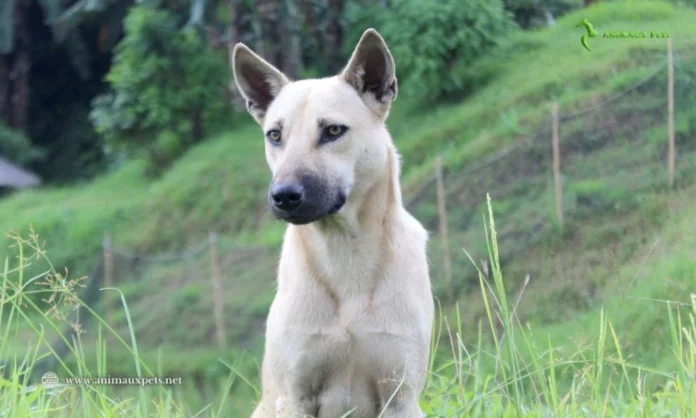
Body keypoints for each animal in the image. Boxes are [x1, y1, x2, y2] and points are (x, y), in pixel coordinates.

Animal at [234, 27, 436, 416]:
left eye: (333, 131)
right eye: (274, 135)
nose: (283, 195)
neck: (345, 249)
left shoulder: (400, 394)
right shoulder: (295, 395)